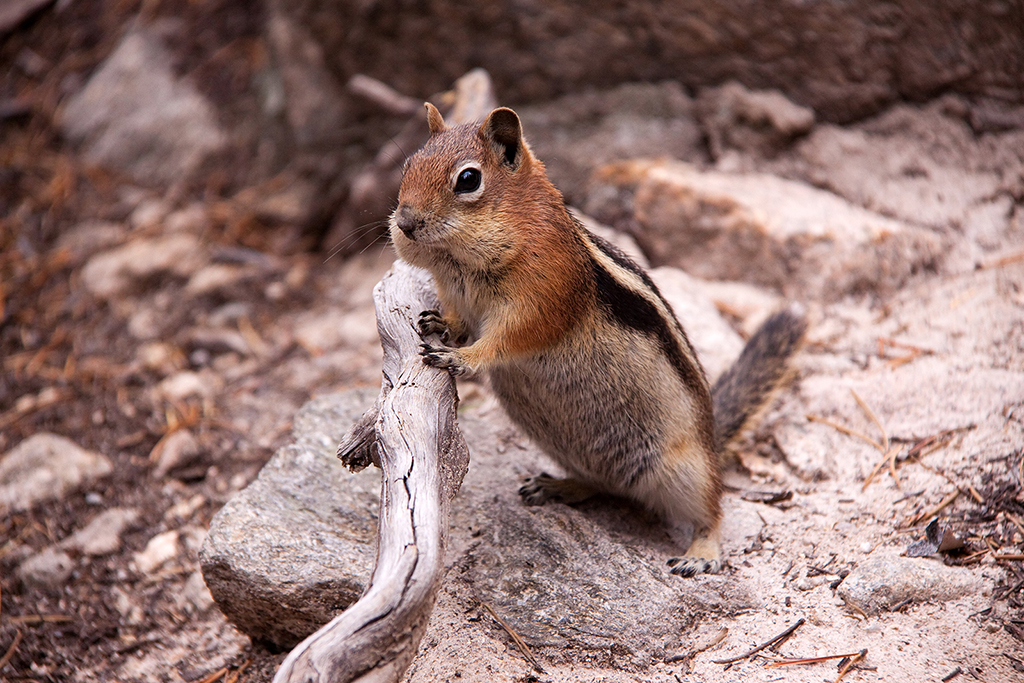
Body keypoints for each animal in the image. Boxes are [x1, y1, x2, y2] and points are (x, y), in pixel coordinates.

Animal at [387, 104, 802, 577]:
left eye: (468, 179)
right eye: (408, 164)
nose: (404, 222)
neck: (462, 262)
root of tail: (712, 440)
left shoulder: (545, 297)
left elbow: (508, 340)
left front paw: (462, 357)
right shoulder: (456, 292)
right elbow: (457, 317)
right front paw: (438, 322)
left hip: (687, 470)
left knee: (712, 508)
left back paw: (702, 553)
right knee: (604, 484)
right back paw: (560, 487)